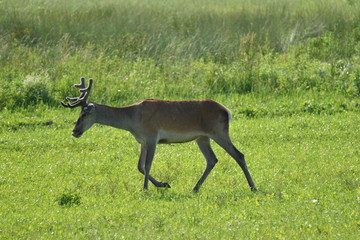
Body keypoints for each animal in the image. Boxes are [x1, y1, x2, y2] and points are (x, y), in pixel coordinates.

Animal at [61, 78, 256, 192]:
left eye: (84, 114)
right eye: (79, 113)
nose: (74, 131)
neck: (132, 119)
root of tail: (227, 111)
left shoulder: (152, 136)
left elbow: (147, 165)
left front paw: (146, 189)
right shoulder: (142, 141)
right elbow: (139, 166)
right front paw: (164, 184)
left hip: (219, 131)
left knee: (239, 155)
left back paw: (253, 186)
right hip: (202, 137)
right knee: (212, 159)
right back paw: (195, 188)